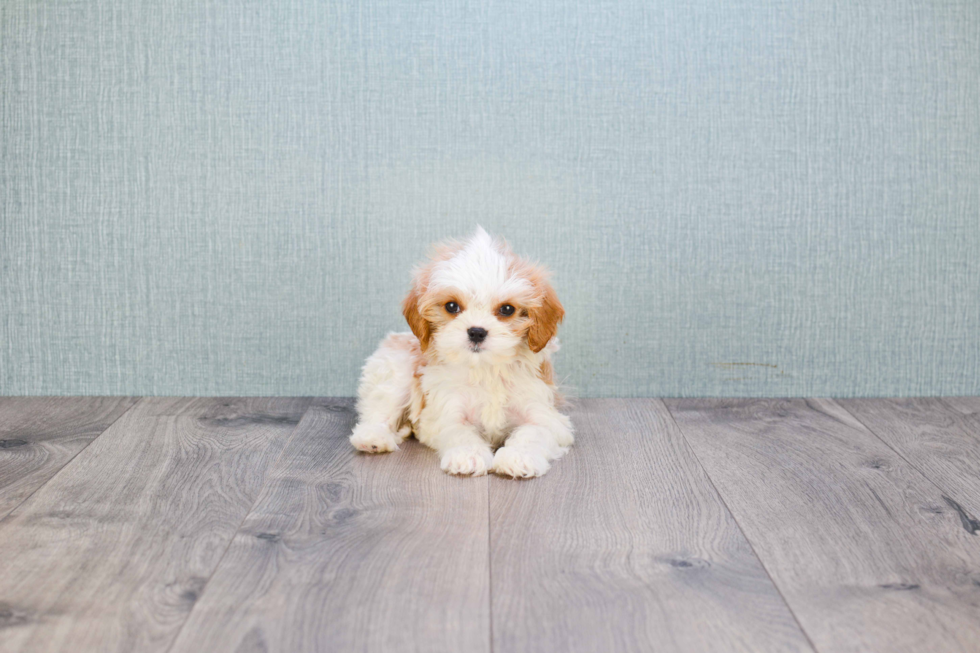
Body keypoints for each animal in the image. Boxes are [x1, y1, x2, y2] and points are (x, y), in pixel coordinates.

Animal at [348, 227, 572, 476]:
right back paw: (373, 438)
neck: (485, 369)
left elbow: (532, 432)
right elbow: (460, 432)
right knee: (380, 409)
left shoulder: (543, 412)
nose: (476, 332)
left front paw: (519, 457)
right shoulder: (446, 412)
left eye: (507, 309)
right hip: (395, 371)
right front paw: (468, 456)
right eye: (452, 306)